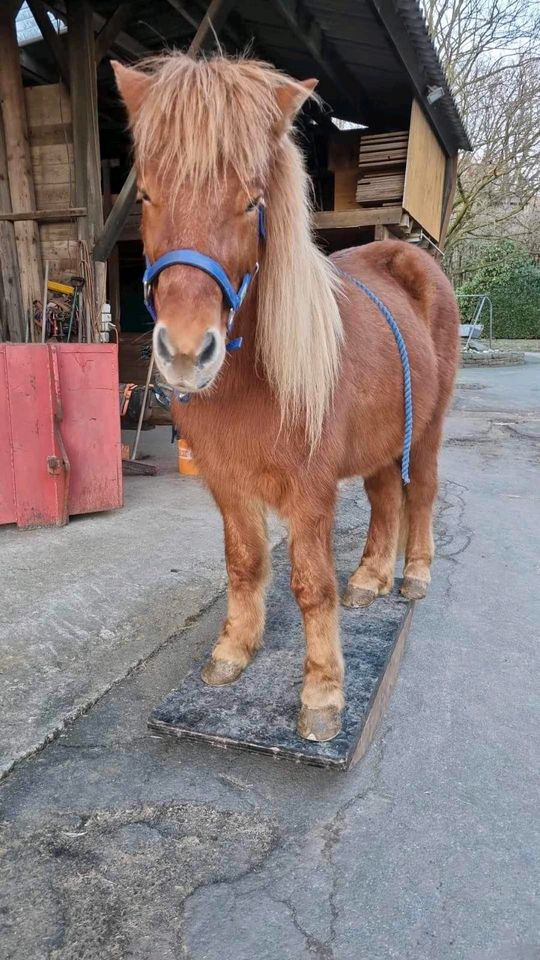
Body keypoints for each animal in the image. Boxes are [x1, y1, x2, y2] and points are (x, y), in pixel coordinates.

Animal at [114, 52, 460, 744]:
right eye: (144, 196)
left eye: (252, 202)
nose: (187, 354)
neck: (256, 378)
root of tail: (413, 257)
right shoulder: (227, 482)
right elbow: (244, 564)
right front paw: (232, 651)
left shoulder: (310, 489)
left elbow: (310, 585)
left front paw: (323, 693)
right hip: (382, 439)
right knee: (386, 499)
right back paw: (371, 578)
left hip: (427, 429)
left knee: (421, 494)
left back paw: (412, 575)